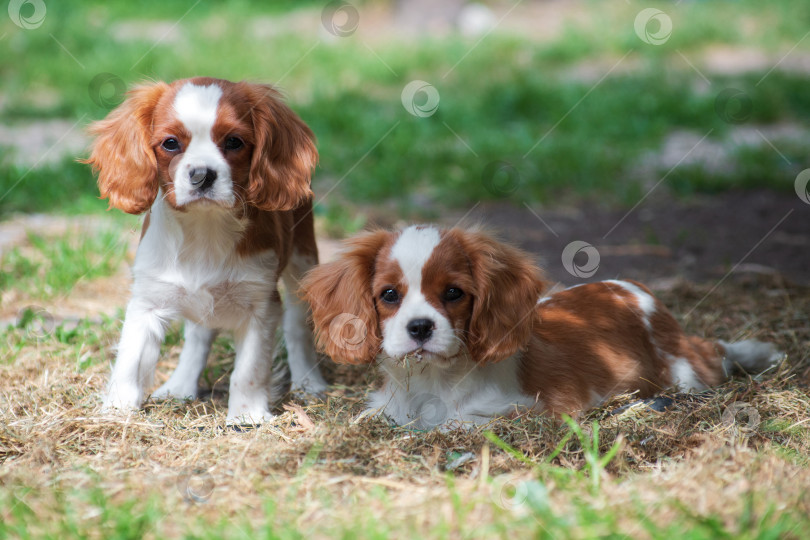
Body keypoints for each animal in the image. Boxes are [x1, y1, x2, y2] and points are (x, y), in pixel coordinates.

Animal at [87, 78, 326, 424]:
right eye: (170, 143)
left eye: (234, 141)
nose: (202, 174)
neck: (205, 227)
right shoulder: (147, 300)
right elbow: (129, 362)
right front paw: (117, 410)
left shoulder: (261, 305)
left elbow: (249, 370)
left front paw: (247, 417)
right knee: (199, 336)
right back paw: (180, 385)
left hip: (302, 261)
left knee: (298, 327)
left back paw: (310, 383)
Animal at [300, 226, 780, 428]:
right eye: (389, 295)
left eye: (453, 293)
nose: (419, 327)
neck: (432, 381)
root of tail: (634, 289)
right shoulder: (387, 407)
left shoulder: (520, 411)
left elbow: (453, 425)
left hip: (684, 371)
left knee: (716, 349)